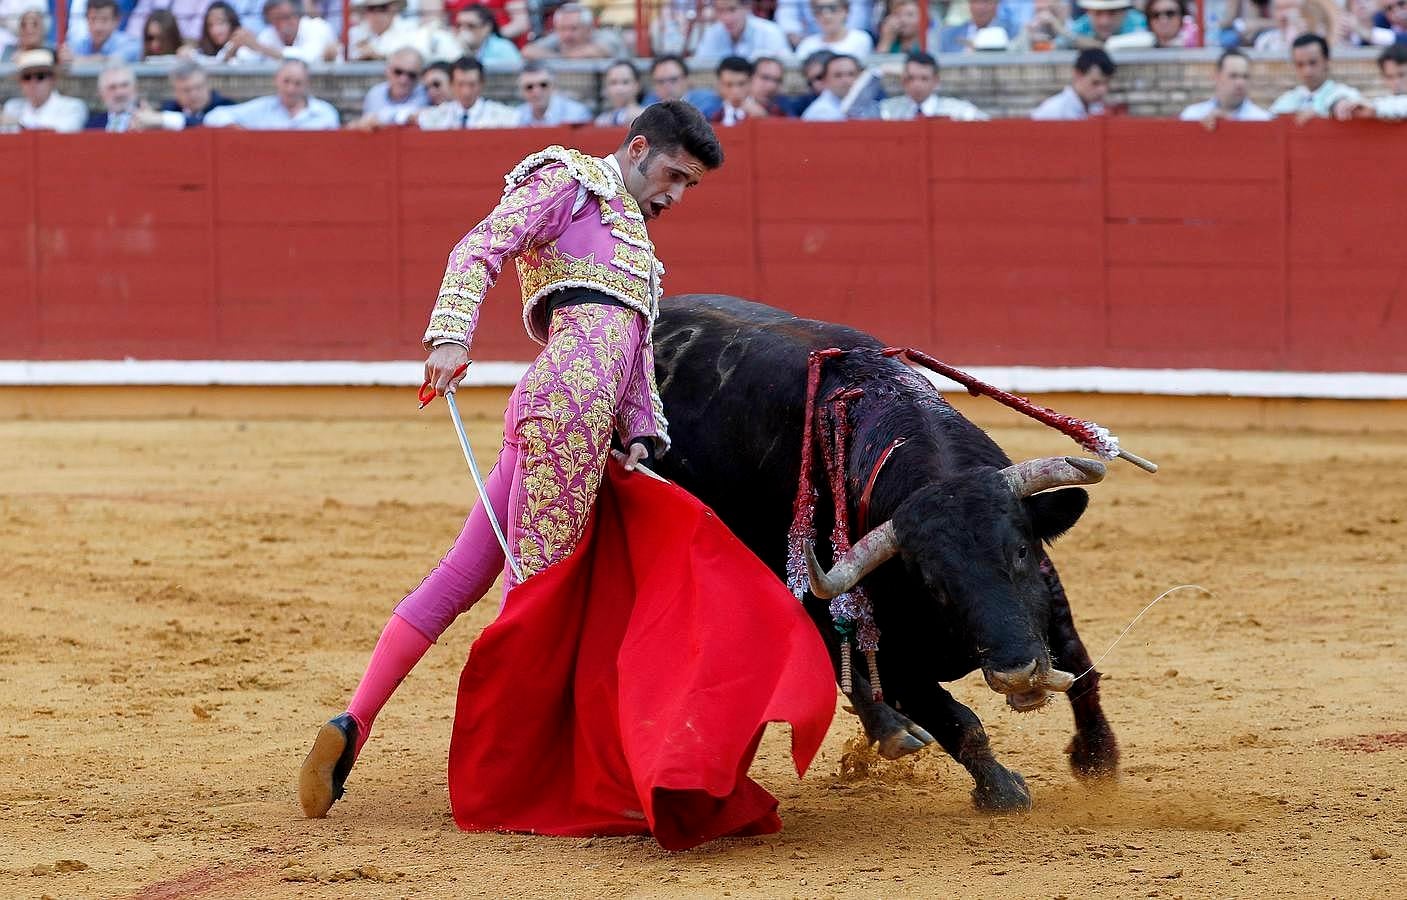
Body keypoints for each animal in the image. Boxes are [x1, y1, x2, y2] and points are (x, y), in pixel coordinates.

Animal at [650, 293, 1119, 810]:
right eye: (932, 582)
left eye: (1018, 551)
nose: (1018, 674)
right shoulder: (892, 656)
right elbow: (958, 721)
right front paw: (1002, 793)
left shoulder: (1046, 595)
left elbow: (1079, 663)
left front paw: (1097, 759)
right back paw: (894, 731)